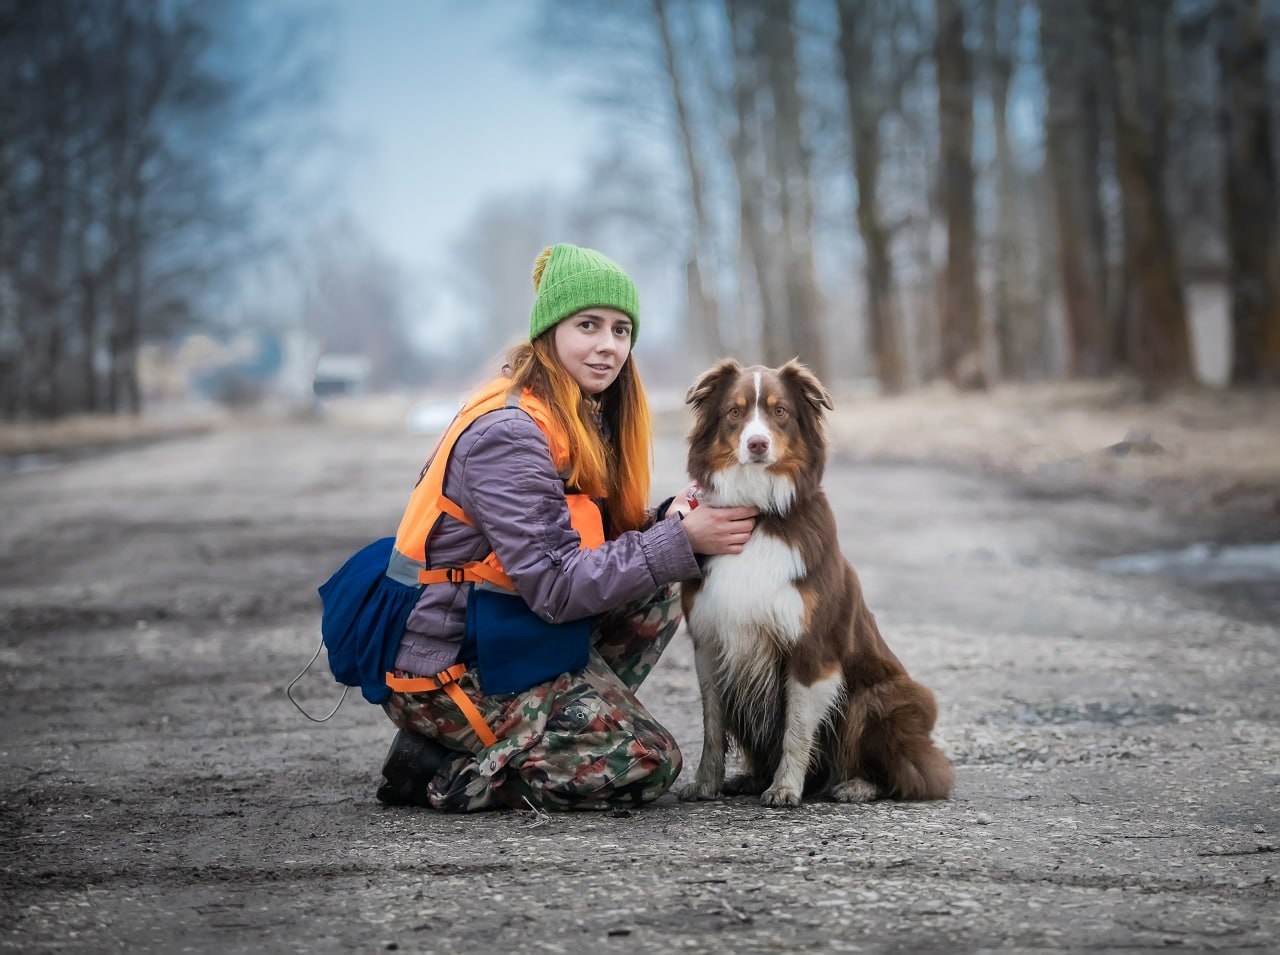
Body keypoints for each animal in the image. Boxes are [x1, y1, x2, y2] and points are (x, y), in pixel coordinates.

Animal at [675, 358, 957, 803]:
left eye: (780, 411)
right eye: (735, 412)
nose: (757, 444)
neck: (759, 512)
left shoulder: (811, 646)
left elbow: (797, 726)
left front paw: (786, 788)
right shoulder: (709, 640)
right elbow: (712, 726)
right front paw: (706, 783)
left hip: (883, 696)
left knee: (909, 774)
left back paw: (856, 785)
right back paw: (749, 778)